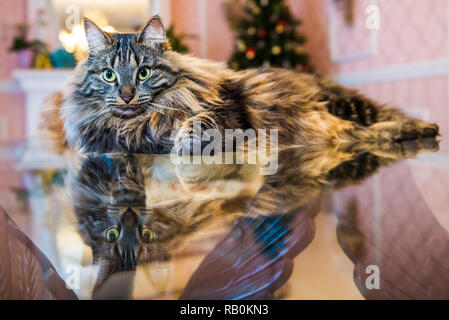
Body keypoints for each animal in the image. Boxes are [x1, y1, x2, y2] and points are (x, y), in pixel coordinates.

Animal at [40, 15, 440, 155]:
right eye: (109, 75)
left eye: (142, 73)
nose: (126, 95)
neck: (138, 122)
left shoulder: (232, 109)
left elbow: (200, 121)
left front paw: (186, 139)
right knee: (362, 132)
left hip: (346, 105)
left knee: (385, 119)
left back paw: (424, 129)